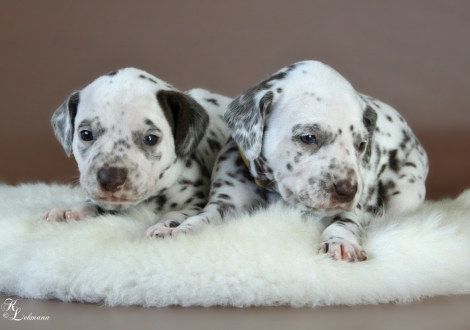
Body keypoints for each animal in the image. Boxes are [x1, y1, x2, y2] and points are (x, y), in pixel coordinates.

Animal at [40, 67, 229, 237]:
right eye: (86, 134)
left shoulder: (196, 203)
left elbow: (176, 214)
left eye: (151, 138)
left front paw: (164, 226)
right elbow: (91, 203)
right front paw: (70, 210)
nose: (111, 179)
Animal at [159, 60, 430, 262]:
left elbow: (345, 222)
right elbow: (203, 218)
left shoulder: (355, 209)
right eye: (308, 137)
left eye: (361, 145)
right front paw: (183, 230)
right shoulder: (226, 204)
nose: (348, 190)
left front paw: (340, 242)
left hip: (406, 192)